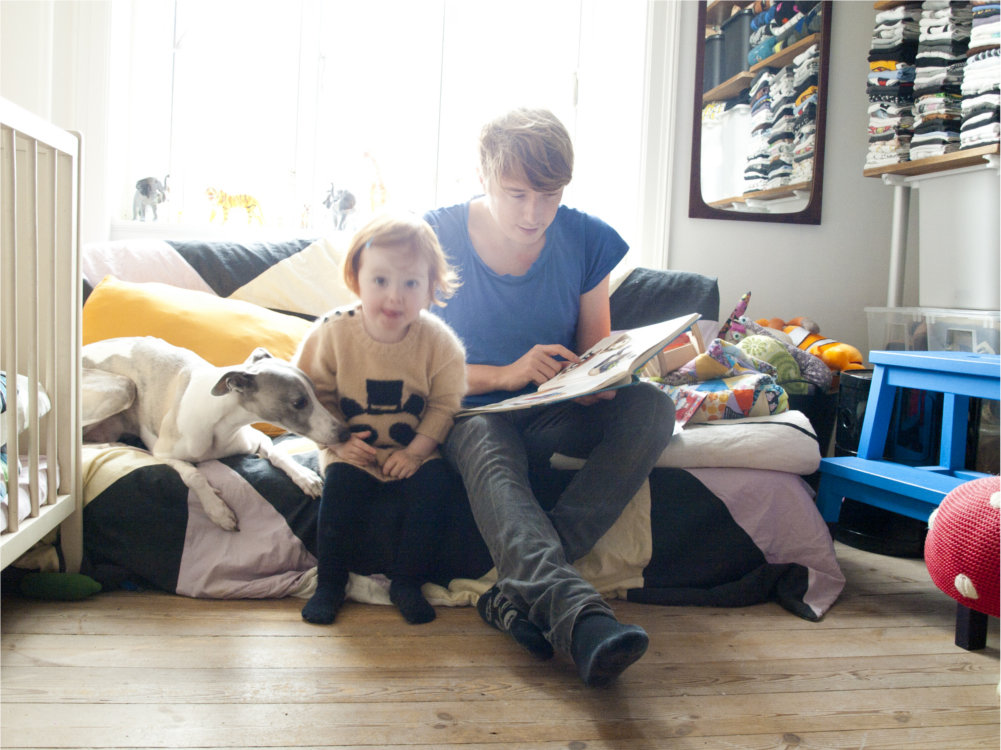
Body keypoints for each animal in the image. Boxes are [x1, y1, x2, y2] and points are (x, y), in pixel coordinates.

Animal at [81, 337, 351, 531]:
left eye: (315, 392)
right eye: (298, 402)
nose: (345, 434)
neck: (220, 422)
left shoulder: (256, 439)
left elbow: (277, 453)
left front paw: (305, 477)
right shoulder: (163, 453)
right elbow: (194, 475)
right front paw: (218, 510)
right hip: (123, 388)